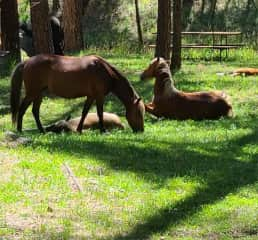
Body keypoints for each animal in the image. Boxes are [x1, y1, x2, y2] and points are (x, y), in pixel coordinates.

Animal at [10, 54, 145, 133]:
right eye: (138, 112)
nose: (141, 131)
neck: (104, 70)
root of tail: (27, 62)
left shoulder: (91, 96)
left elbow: (84, 113)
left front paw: (79, 129)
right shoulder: (99, 96)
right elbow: (100, 113)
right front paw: (103, 130)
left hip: (39, 94)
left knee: (35, 111)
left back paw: (41, 130)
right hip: (32, 93)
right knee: (22, 109)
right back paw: (20, 130)